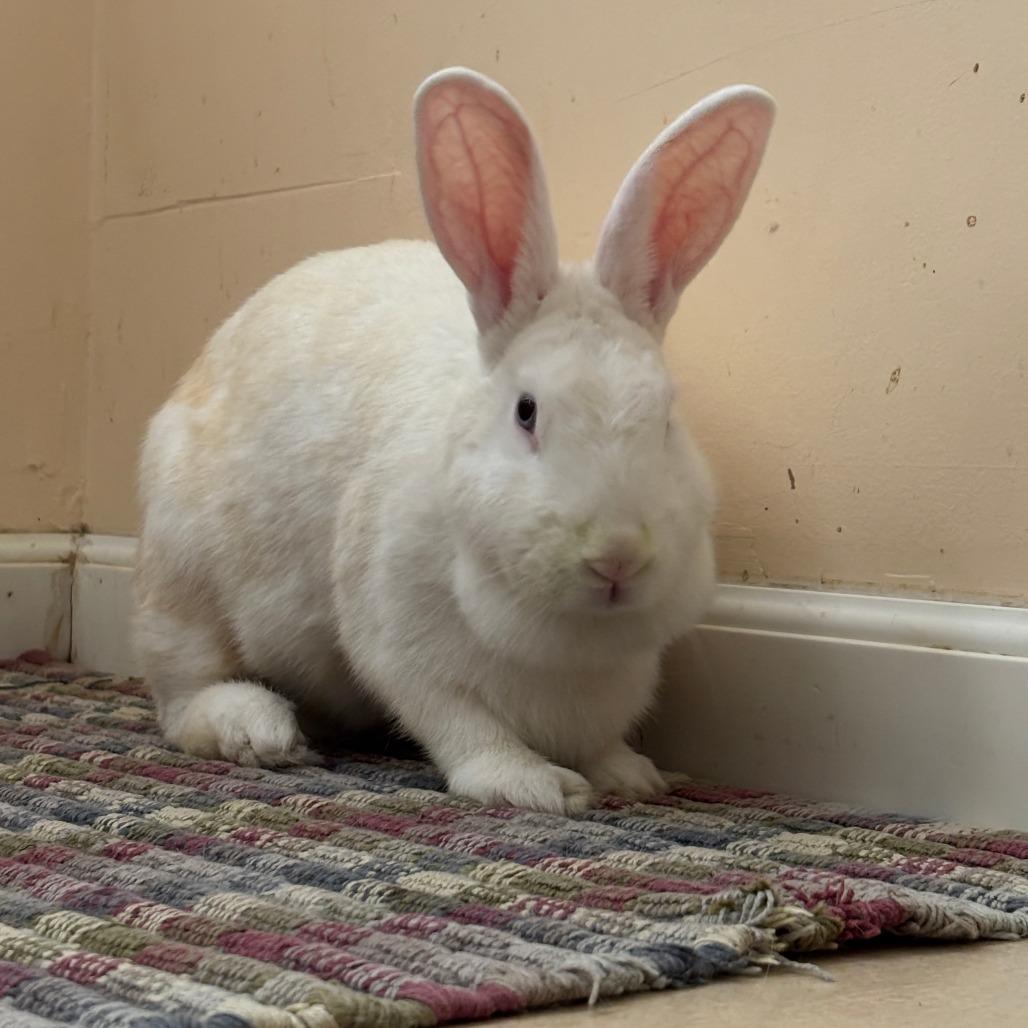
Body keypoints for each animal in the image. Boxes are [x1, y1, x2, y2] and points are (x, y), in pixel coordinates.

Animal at [135, 67, 775, 814]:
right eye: (526, 412)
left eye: (666, 418)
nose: (617, 556)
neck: (569, 633)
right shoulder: (400, 640)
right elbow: (462, 724)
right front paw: (535, 786)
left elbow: (600, 740)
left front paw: (630, 777)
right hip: (181, 580)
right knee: (182, 696)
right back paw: (260, 730)